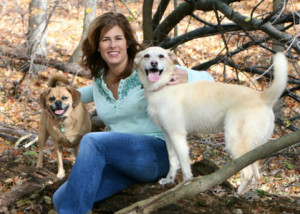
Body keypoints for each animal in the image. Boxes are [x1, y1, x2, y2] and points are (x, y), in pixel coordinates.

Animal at [135, 46, 288, 194]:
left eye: (161, 56)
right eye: (146, 56)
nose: (154, 63)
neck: (163, 87)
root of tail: (262, 97)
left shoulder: (177, 135)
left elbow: (184, 165)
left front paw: (185, 186)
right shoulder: (168, 135)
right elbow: (172, 161)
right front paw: (169, 180)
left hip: (235, 142)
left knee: (248, 173)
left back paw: (238, 194)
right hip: (253, 148)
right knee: (256, 174)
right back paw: (249, 193)